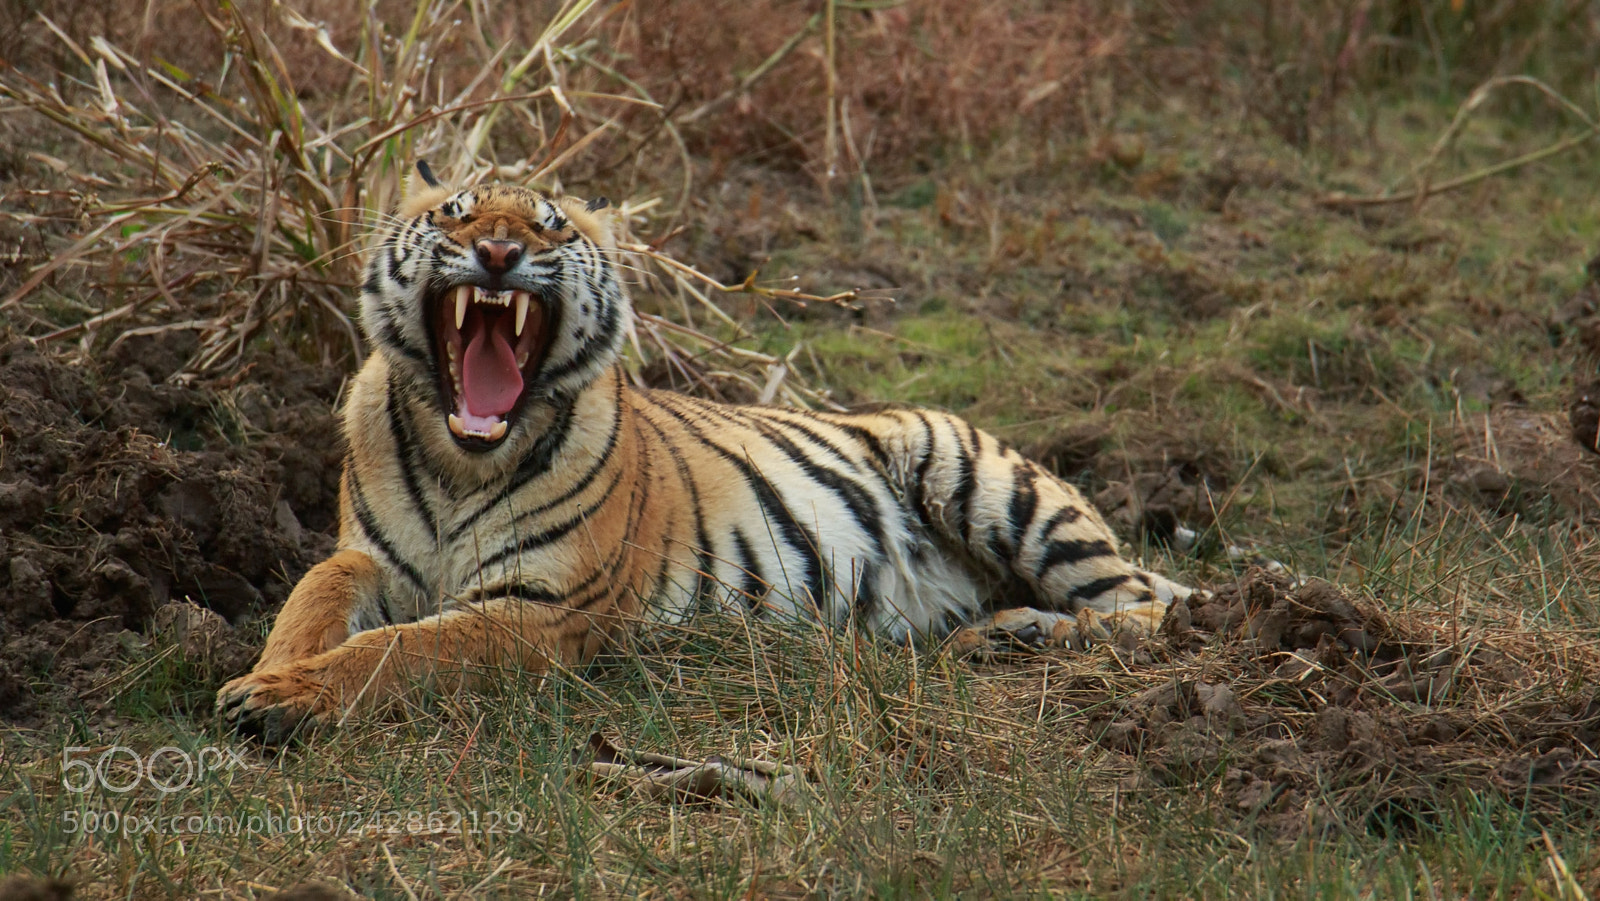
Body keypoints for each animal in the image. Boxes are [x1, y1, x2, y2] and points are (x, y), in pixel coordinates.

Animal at [216, 168, 1196, 742]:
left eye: (552, 227)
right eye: (455, 214)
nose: (496, 251)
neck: (466, 457)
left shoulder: (543, 607)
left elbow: (405, 651)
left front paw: (284, 696)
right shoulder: (371, 556)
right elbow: (316, 593)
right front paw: (266, 672)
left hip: (988, 479)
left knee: (1146, 608)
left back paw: (1028, 634)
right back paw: (1002, 633)